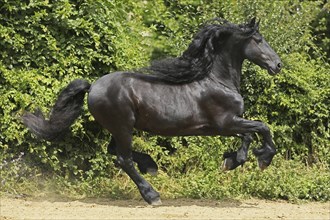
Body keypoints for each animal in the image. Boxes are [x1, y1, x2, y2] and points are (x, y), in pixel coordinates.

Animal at [22, 18, 282, 205]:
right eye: (258, 39)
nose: (278, 65)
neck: (218, 81)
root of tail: (93, 86)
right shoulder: (226, 122)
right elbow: (263, 128)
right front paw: (263, 159)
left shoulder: (223, 126)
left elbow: (248, 135)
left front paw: (231, 160)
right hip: (123, 127)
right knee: (123, 159)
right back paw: (152, 195)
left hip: (120, 128)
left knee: (114, 151)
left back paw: (150, 165)